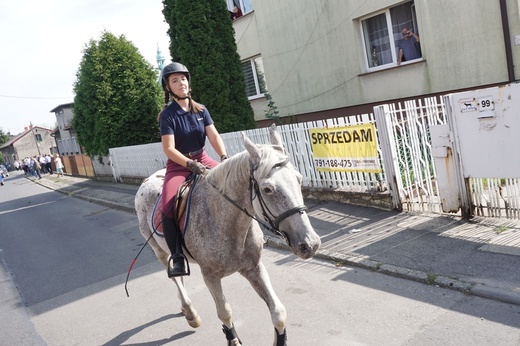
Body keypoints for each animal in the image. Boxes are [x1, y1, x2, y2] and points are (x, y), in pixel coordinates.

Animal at [134, 123, 318, 344]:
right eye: (267, 189)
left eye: (299, 179)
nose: (310, 243)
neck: (227, 223)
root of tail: (147, 181)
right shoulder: (210, 276)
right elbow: (225, 312)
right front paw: (232, 337)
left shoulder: (254, 268)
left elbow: (278, 312)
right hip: (158, 250)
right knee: (174, 276)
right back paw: (190, 312)